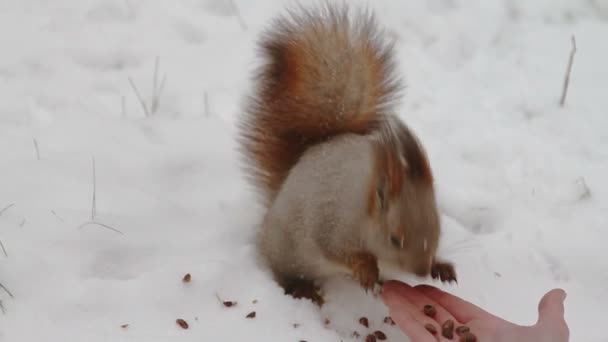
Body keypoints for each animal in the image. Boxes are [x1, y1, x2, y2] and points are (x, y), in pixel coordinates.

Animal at [238, 2, 456, 308]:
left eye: (438, 230)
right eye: (394, 239)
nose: (422, 271)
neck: (365, 210)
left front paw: (440, 266)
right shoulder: (332, 227)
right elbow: (336, 251)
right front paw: (365, 268)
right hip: (288, 252)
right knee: (285, 273)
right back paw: (302, 289)